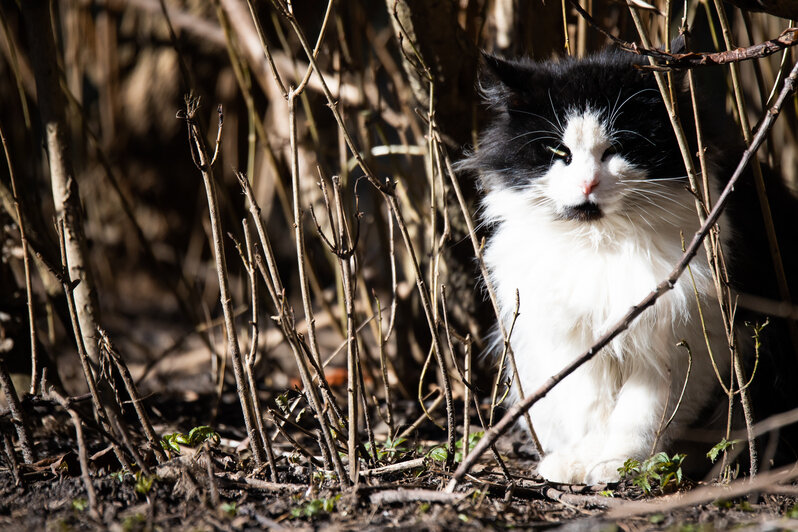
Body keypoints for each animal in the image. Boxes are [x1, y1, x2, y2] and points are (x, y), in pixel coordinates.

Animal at [460, 50, 792, 486]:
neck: (602, 244)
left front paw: (618, 465)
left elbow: (640, 415)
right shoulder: (579, 342)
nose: (587, 184)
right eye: (558, 152)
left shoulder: (686, 338)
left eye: (617, 149)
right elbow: (593, 410)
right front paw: (581, 463)